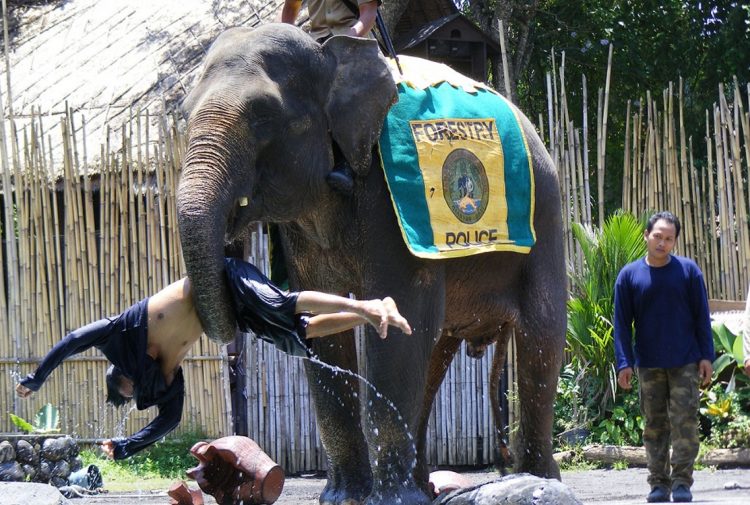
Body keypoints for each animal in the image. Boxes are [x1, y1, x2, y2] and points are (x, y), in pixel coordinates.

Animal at [177, 23, 567, 505]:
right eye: (183, 115)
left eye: (265, 117)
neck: (330, 56)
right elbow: (325, 322)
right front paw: (343, 498)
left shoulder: (388, 196)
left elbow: (398, 316)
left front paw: (389, 501)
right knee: (435, 349)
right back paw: (427, 488)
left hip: (545, 218)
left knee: (540, 339)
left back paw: (539, 481)